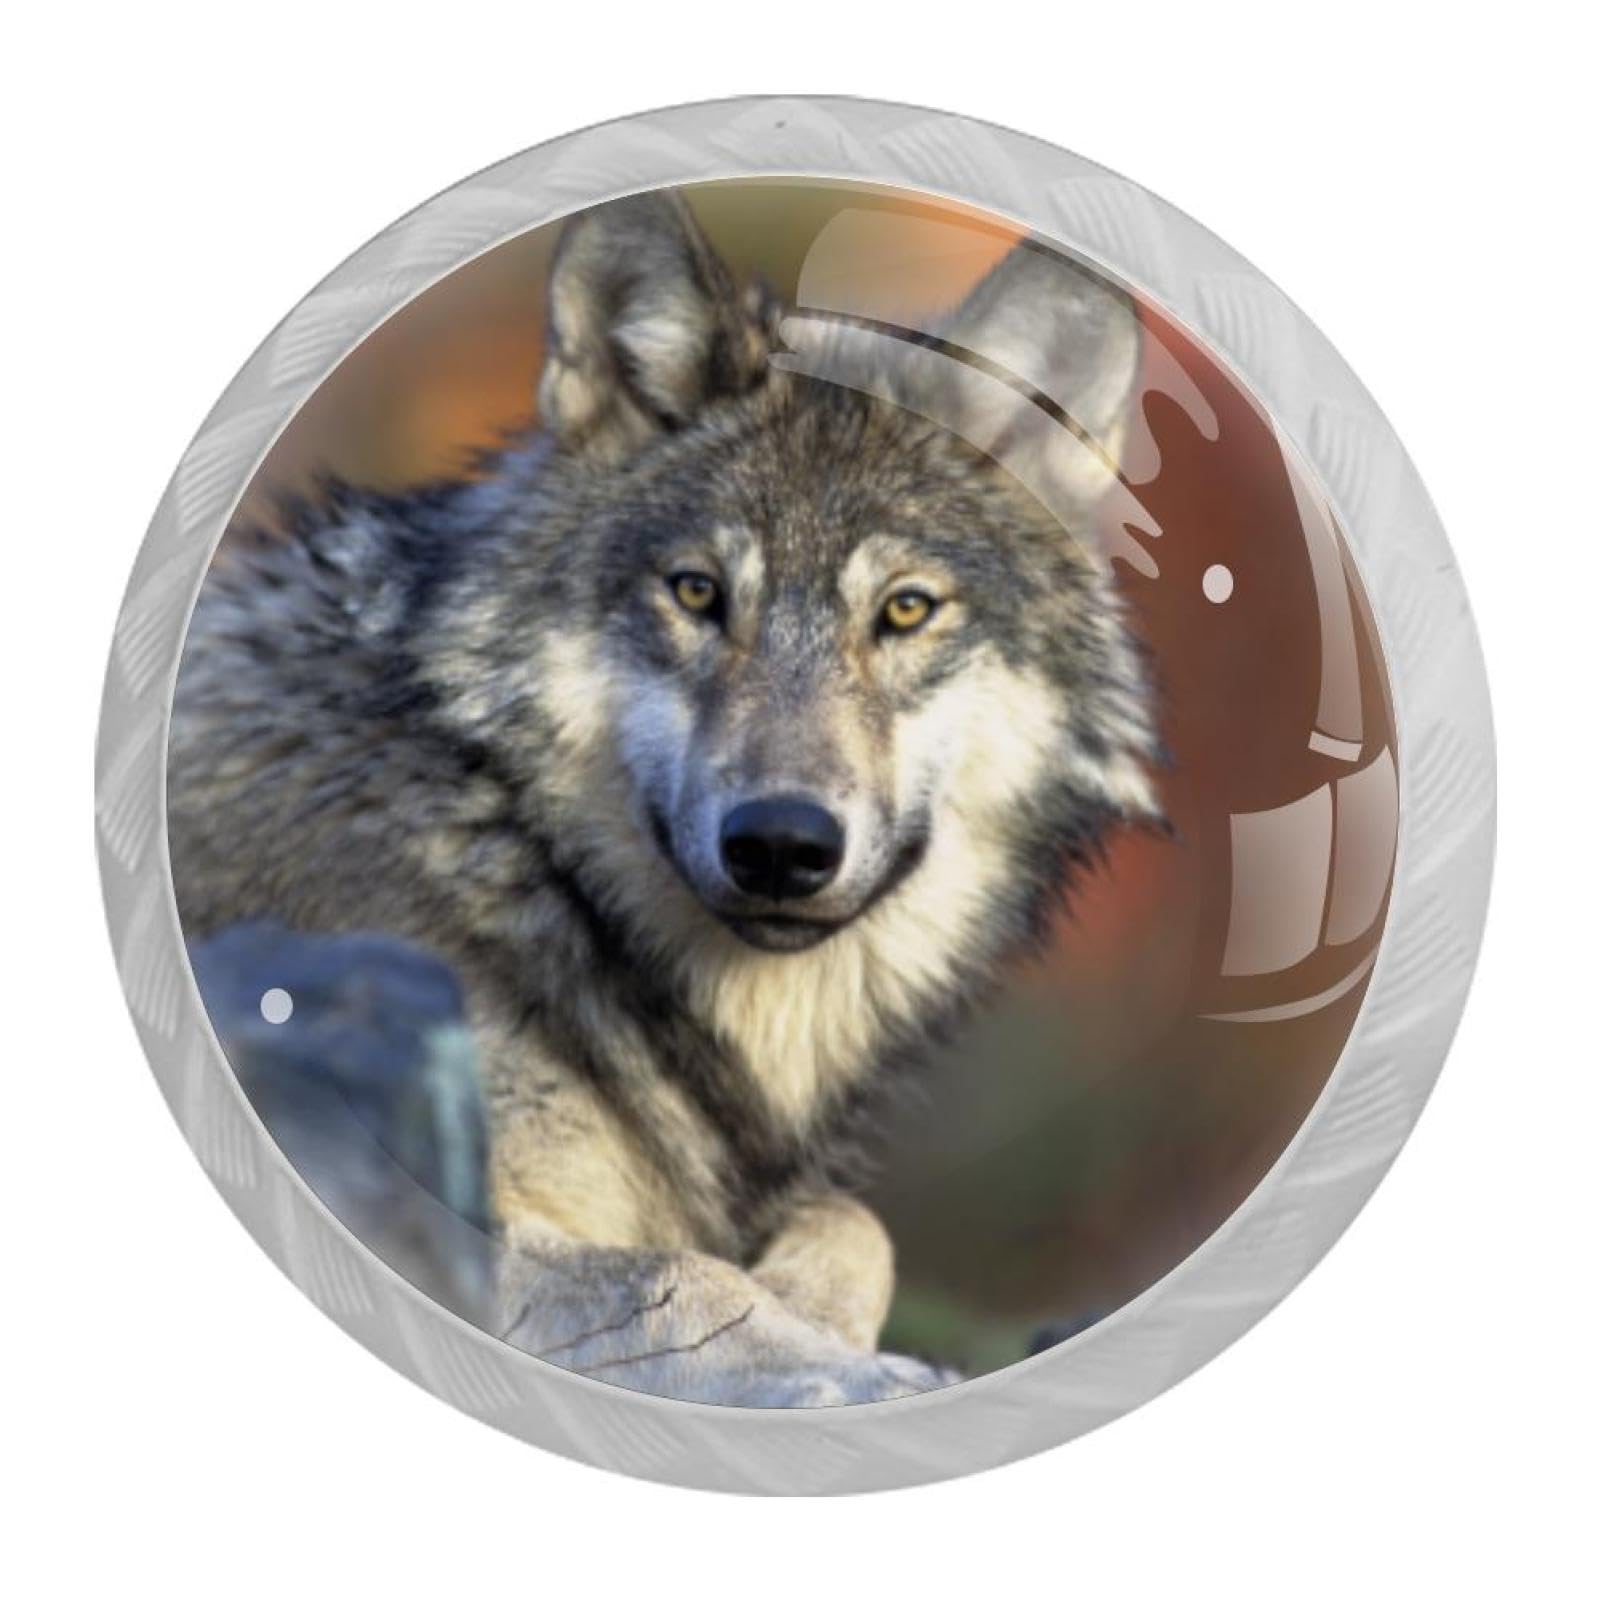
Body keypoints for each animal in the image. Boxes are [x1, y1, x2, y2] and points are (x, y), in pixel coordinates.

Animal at [169, 190, 1161, 1405]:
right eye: (696, 592)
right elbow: (683, 1275)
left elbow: (854, 1223)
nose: (780, 844)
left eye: (905, 610)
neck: (515, 853)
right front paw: (853, 1371)